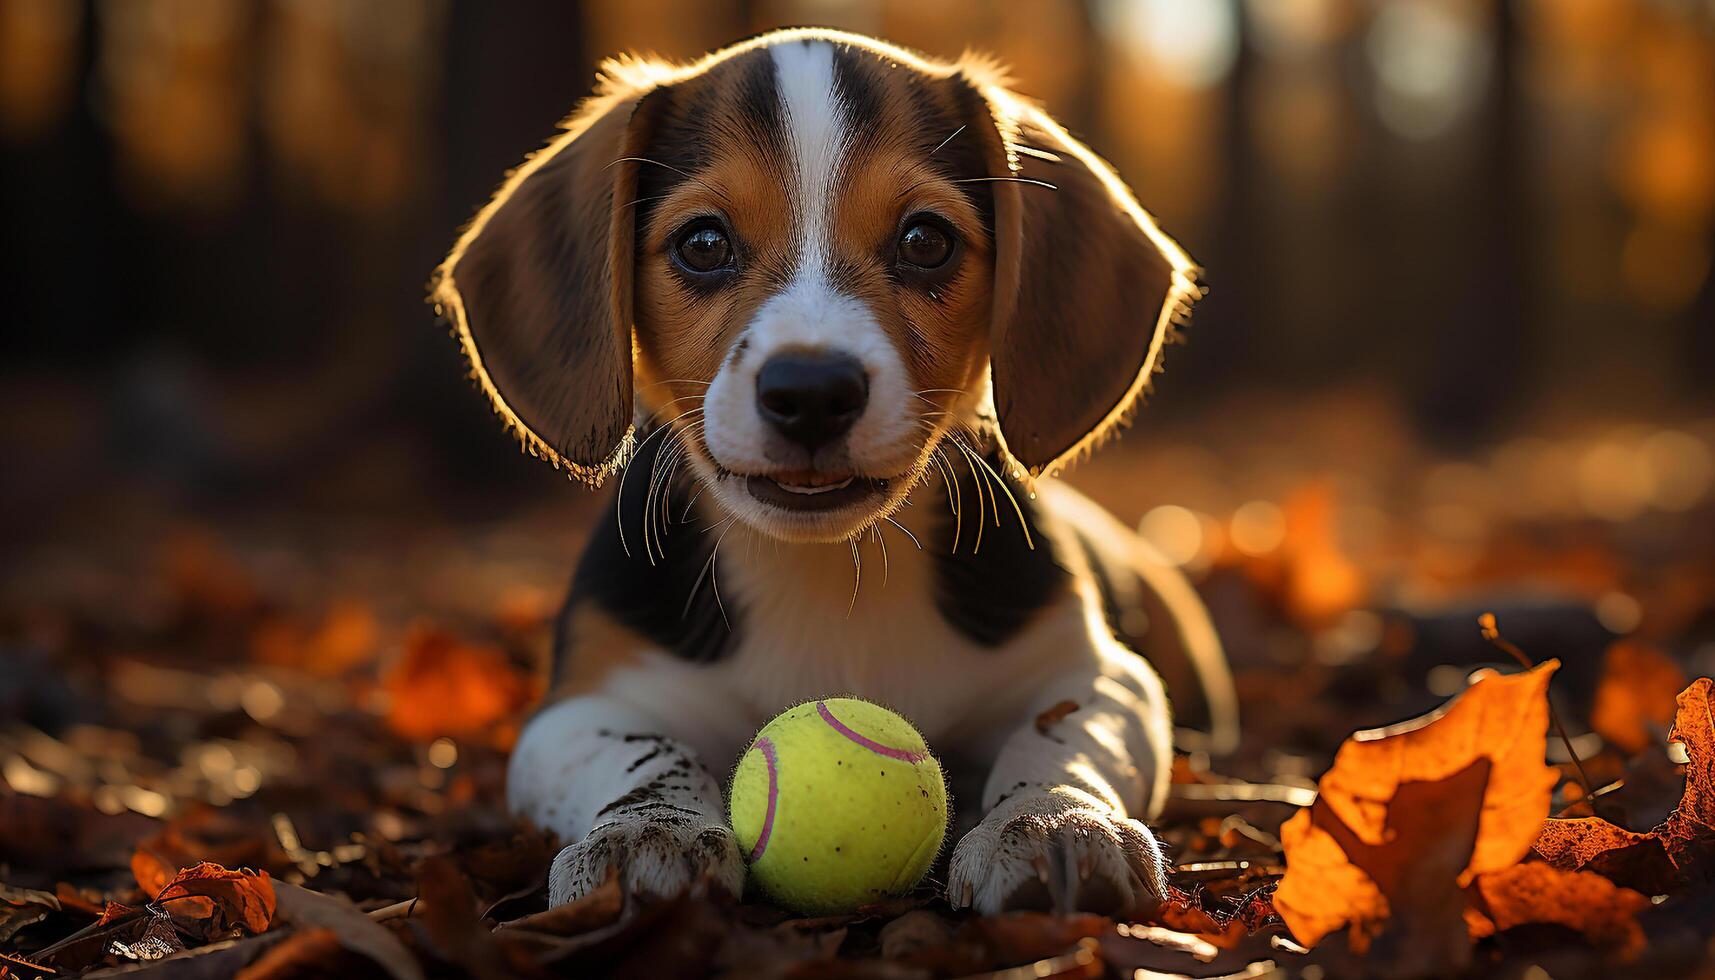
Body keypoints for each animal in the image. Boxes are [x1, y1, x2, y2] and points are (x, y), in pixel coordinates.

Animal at [428, 30, 1234, 919]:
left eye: (925, 241)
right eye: (702, 244)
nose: (811, 392)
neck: (828, 572)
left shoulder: (1098, 675)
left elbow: (1056, 737)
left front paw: (1054, 821)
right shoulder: (579, 707)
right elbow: (646, 751)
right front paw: (647, 828)